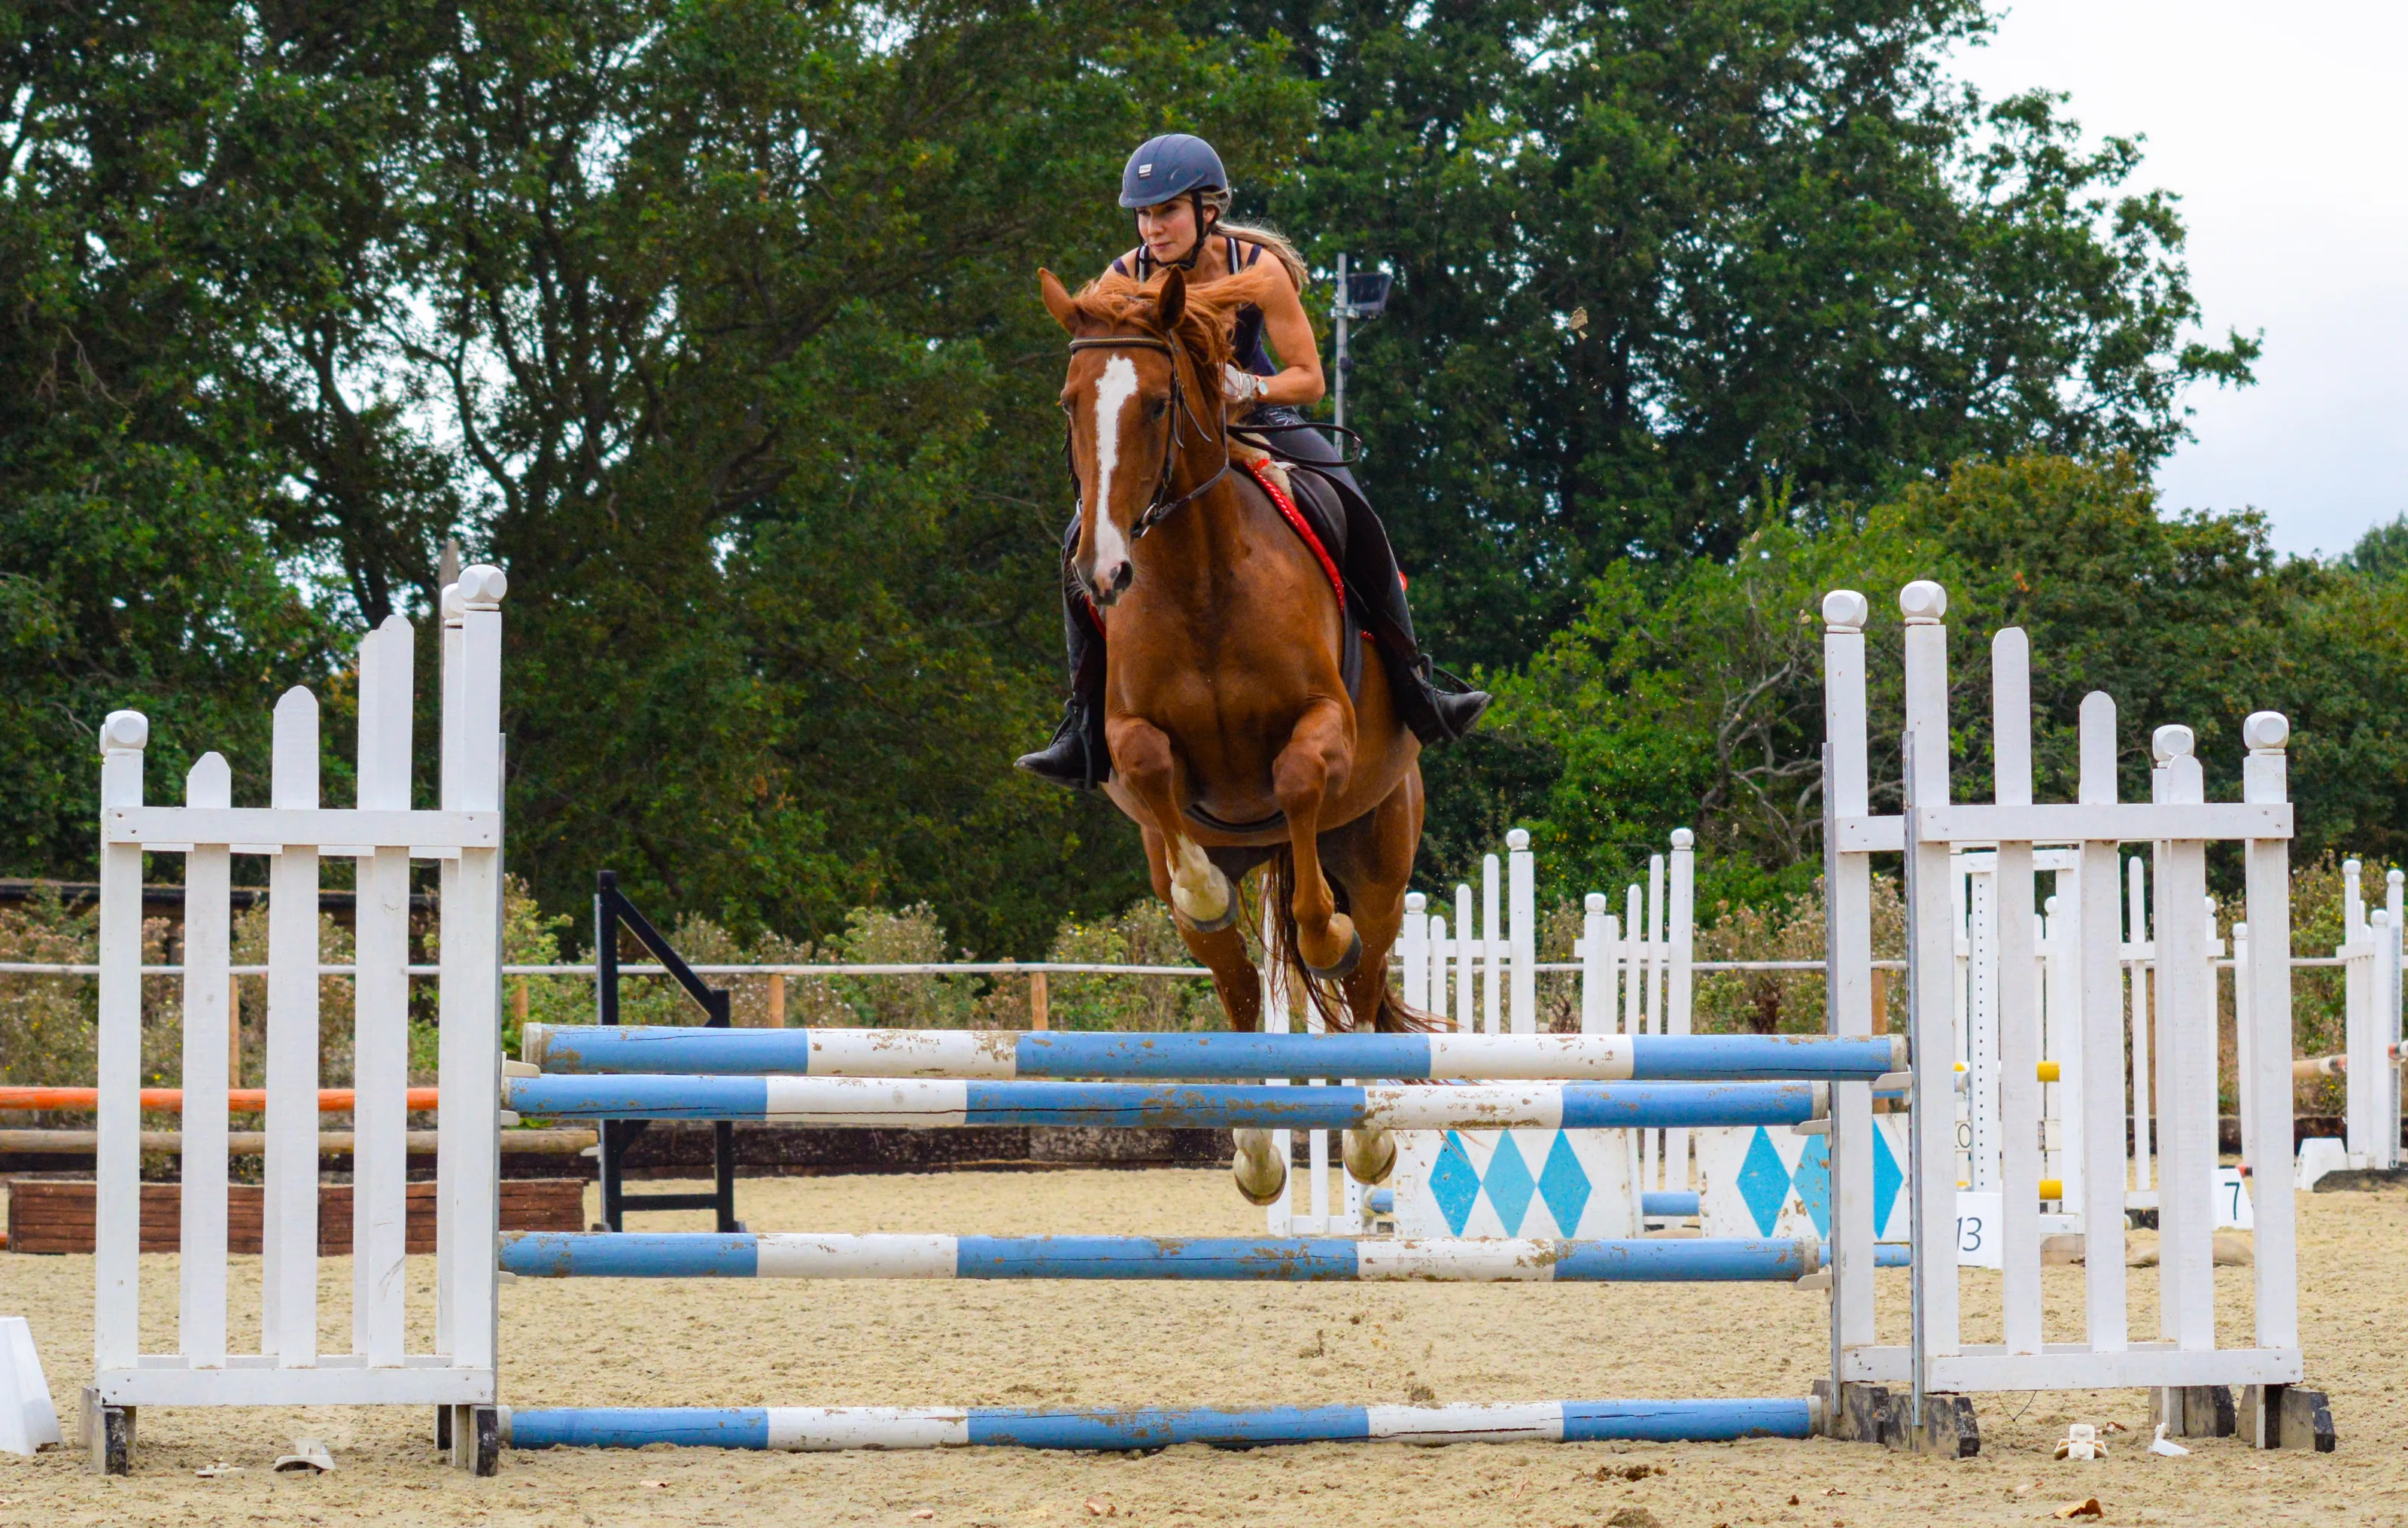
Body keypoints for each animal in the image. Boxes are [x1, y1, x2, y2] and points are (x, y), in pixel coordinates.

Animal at [1039, 262, 1433, 1205]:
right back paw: (1255, 1153)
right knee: (1239, 986)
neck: (1199, 577)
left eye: (1156, 403)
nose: (1100, 570)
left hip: (1378, 848)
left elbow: (1295, 779)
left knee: (1362, 971)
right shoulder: (1130, 735)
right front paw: (1202, 889)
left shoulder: (1324, 725)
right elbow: (1148, 764)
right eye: (1070, 403)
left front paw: (1321, 932)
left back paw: (1368, 1136)